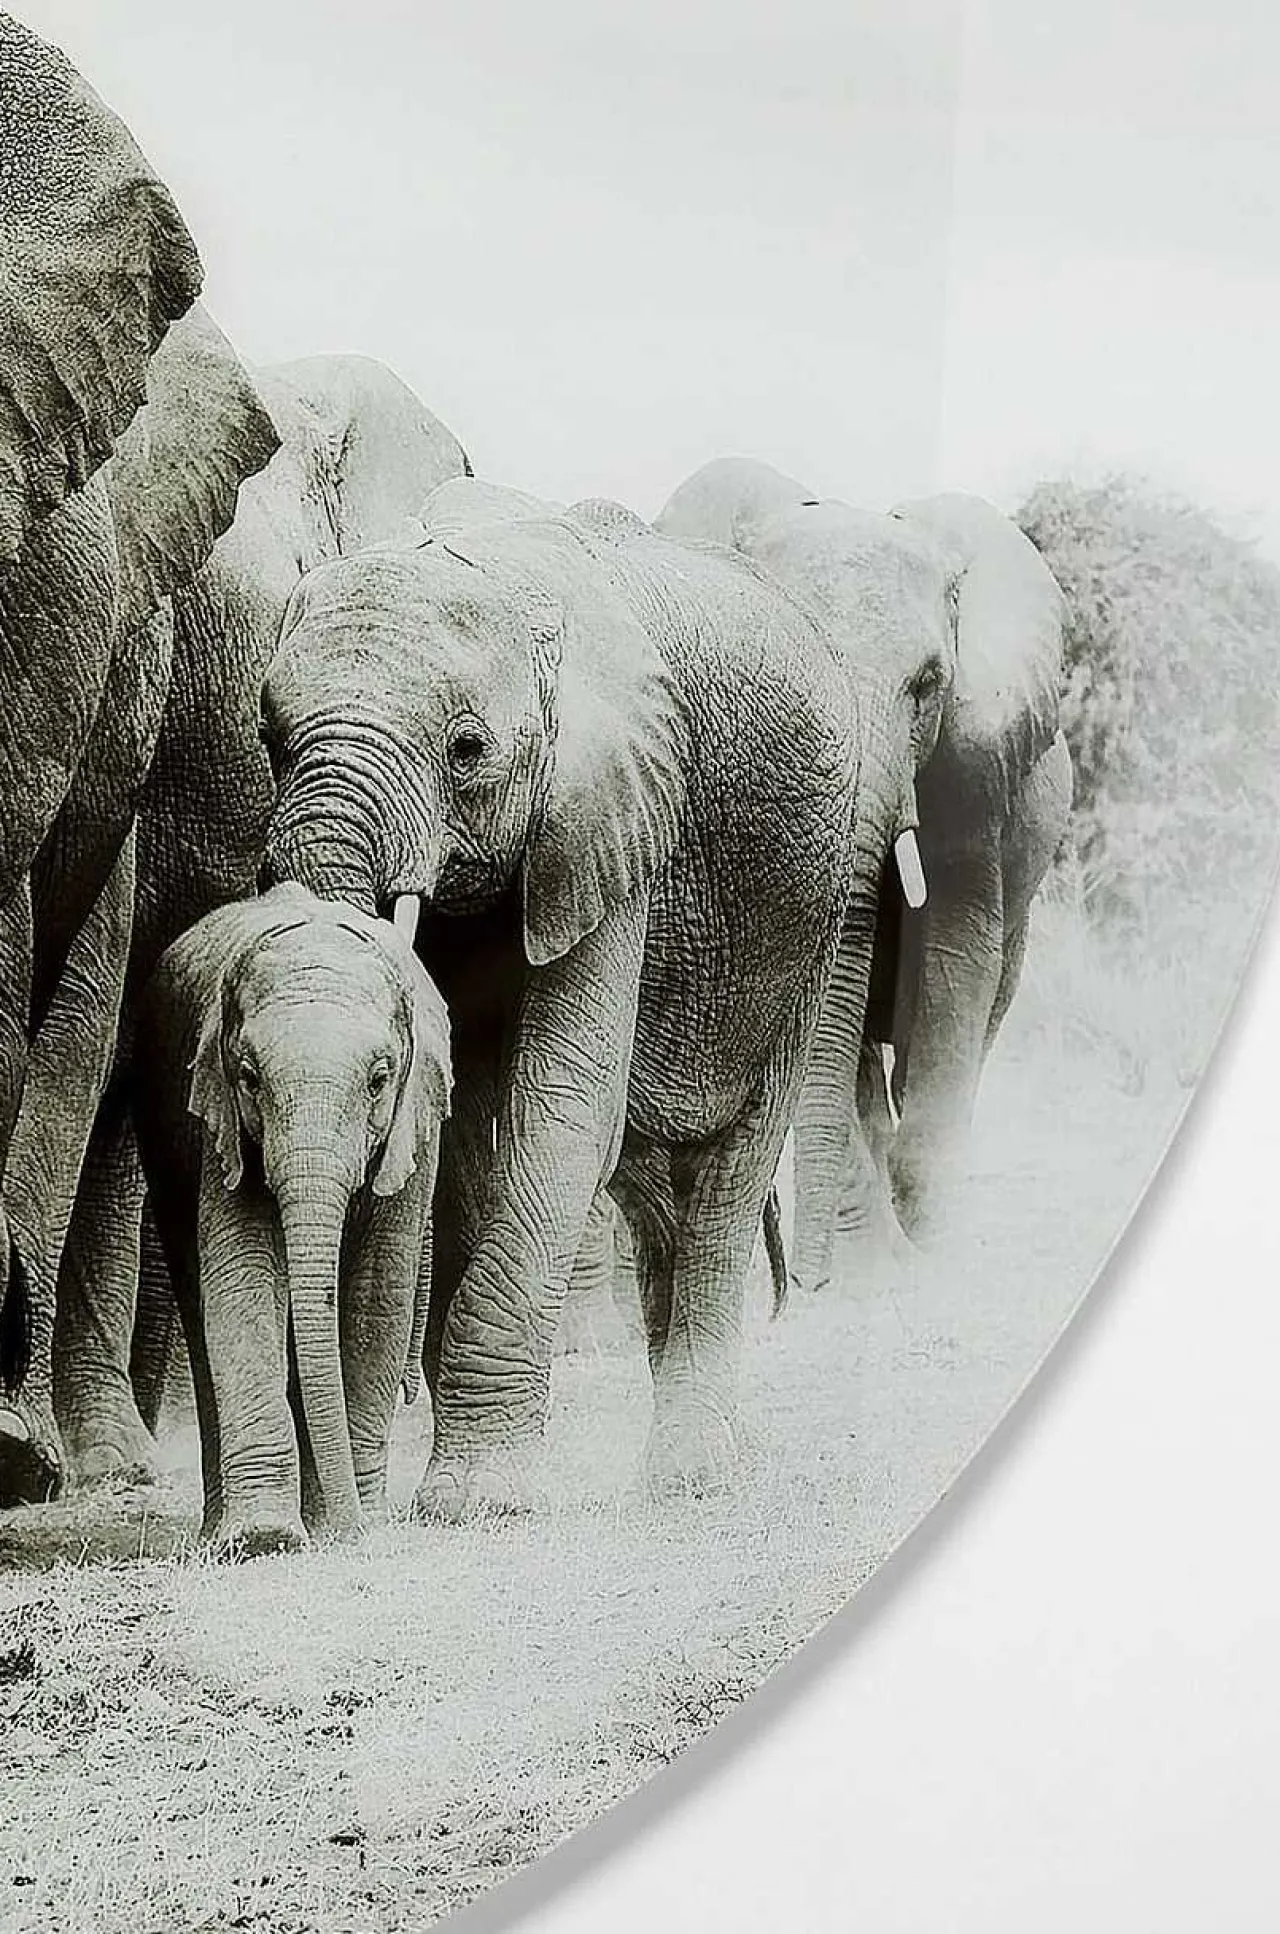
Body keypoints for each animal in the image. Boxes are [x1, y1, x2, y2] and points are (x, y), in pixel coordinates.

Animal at [132, 884, 452, 1555]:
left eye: (380, 1079)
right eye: (249, 1079)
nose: (360, 1535)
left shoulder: (416, 1128)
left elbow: (378, 1292)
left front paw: (349, 1523)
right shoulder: (220, 1122)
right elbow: (243, 1277)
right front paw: (266, 1538)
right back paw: (222, 1530)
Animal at [258, 477, 875, 1516]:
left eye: (467, 749)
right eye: (269, 737)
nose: (343, 1514)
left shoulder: (618, 822)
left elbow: (560, 1108)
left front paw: (474, 1503)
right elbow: (477, 1123)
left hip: (807, 930)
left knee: (726, 1179)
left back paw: (693, 1477)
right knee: (652, 1185)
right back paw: (726, 1453)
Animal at [656, 458, 1072, 1281]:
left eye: (929, 683)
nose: (802, 1282)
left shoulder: (973, 766)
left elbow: (955, 947)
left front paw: (927, 1241)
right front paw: (867, 1270)